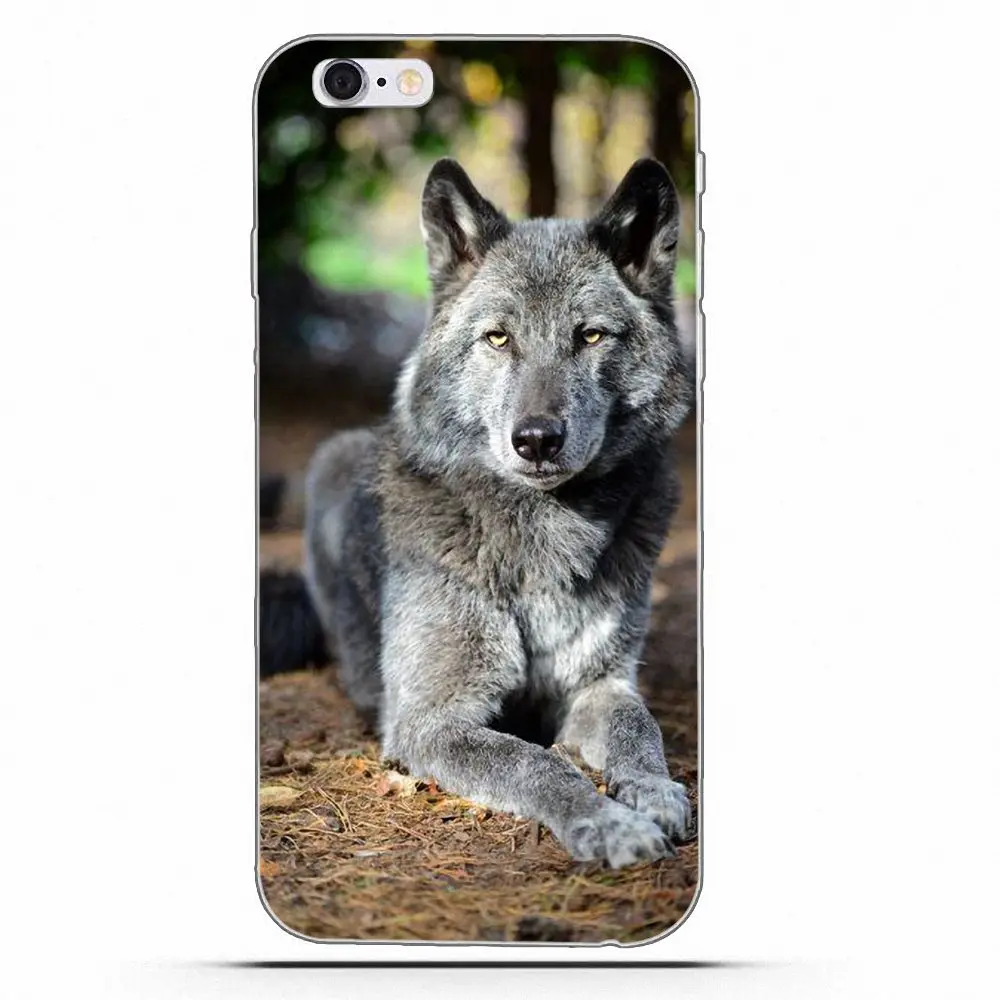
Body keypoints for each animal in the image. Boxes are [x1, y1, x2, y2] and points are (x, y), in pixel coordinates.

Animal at [277, 157, 694, 867]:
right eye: (498, 338)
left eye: (590, 336)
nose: (537, 440)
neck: (542, 538)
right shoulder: (432, 721)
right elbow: (539, 764)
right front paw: (607, 822)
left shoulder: (601, 685)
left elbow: (640, 727)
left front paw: (654, 790)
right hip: (331, 458)